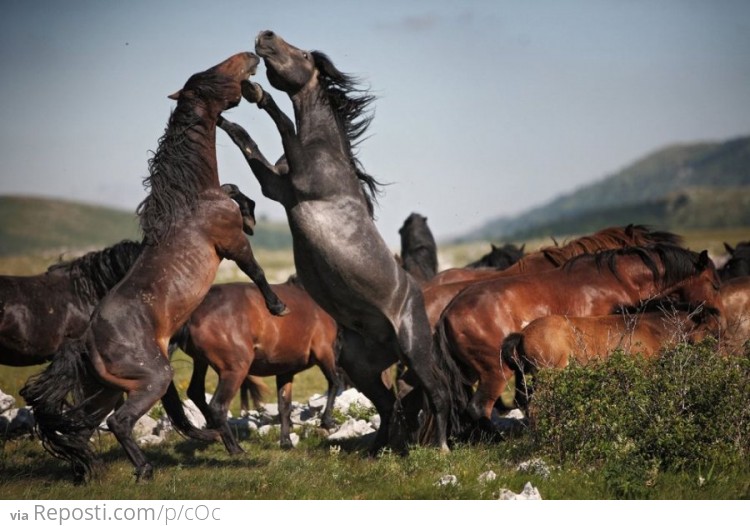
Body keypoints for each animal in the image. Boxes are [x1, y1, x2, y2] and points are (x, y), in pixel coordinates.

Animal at [22, 51, 288, 484]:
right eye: (213, 74)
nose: (250, 57)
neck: (191, 199)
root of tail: (86, 342)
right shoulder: (230, 244)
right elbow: (257, 269)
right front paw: (278, 306)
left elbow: (235, 190)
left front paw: (250, 212)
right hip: (152, 380)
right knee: (119, 422)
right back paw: (145, 469)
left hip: (108, 389)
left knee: (82, 425)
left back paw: (88, 469)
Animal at [171, 276, 344, 454]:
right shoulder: (324, 351)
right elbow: (335, 382)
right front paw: (327, 422)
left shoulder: (285, 370)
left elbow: (284, 406)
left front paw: (286, 442)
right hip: (235, 370)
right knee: (217, 407)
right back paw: (235, 449)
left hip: (201, 361)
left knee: (196, 392)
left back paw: (214, 431)